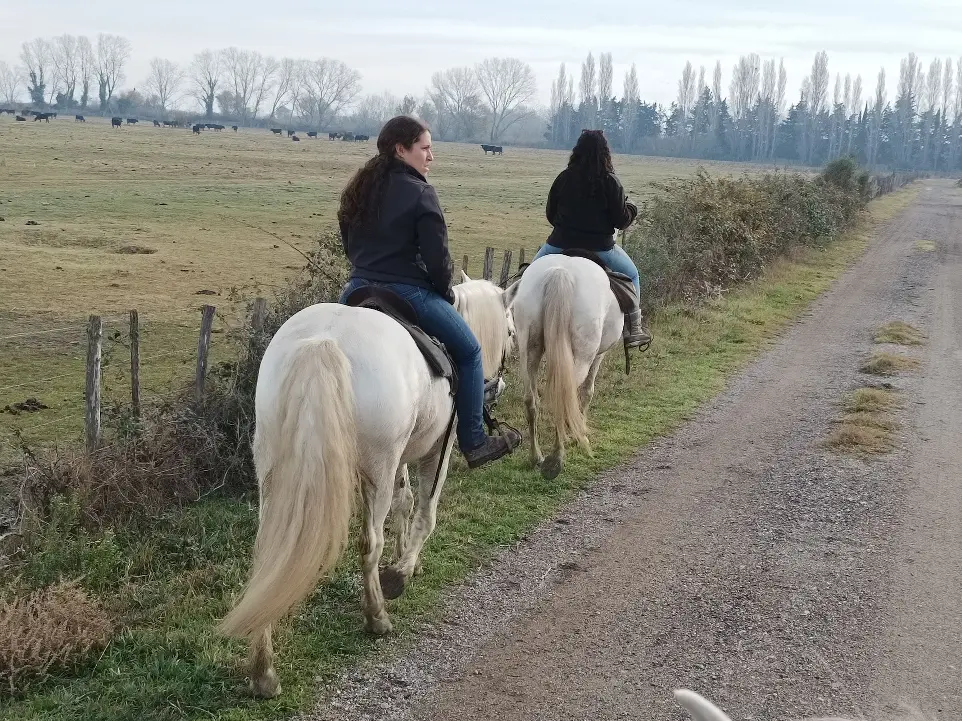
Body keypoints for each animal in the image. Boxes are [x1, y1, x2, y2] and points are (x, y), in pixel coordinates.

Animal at [216, 274, 510, 692]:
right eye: (511, 328)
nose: (498, 385)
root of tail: (324, 342)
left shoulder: (401, 457)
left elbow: (405, 503)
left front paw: (407, 561)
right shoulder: (439, 446)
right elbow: (425, 513)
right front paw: (401, 572)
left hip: (274, 473)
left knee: (269, 555)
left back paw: (263, 670)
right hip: (377, 468)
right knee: (369, 543)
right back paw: (377, 617)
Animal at [506, 253, 628, 478]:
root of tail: (560, 272)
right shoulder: (598, 355)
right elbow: (587, 392)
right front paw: (579, 434)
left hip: (529, 350)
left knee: (531, 400)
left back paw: (536, 457)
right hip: (583, 355)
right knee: (565, 394)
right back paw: (557, 457)